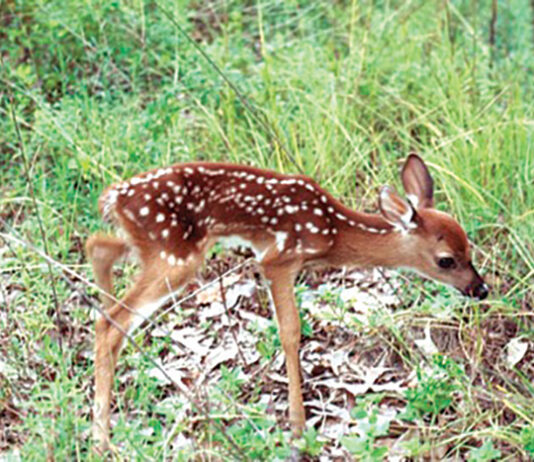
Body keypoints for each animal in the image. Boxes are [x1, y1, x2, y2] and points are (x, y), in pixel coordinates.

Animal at [87, 154, 490, 452]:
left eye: (469, 248)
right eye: (446, 260)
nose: (481, 289)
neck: (333, 231)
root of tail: (113, 197)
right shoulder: (279, 259)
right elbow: (291, 331)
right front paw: (297, 427)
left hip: (153, 247)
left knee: (98, 248)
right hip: (175, 254)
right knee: (109, 321)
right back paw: (102, 441)